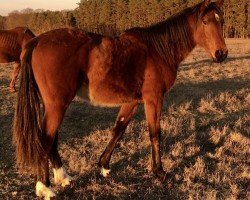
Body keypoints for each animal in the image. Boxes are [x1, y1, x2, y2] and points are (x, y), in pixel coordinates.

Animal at [14, 0, 229, 198]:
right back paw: (45, 187)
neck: (157, 50)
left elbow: (119, 129)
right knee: (45, 139)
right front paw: (159, 172)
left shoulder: (131, 102)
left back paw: (63, 177)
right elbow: (154, 134)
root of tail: (37, 41)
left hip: (53, 105)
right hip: (57, 105)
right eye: (205, 21)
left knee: (52, 139)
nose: (221, 53)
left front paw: (104, 165)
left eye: (221, 21)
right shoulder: (153, 99)